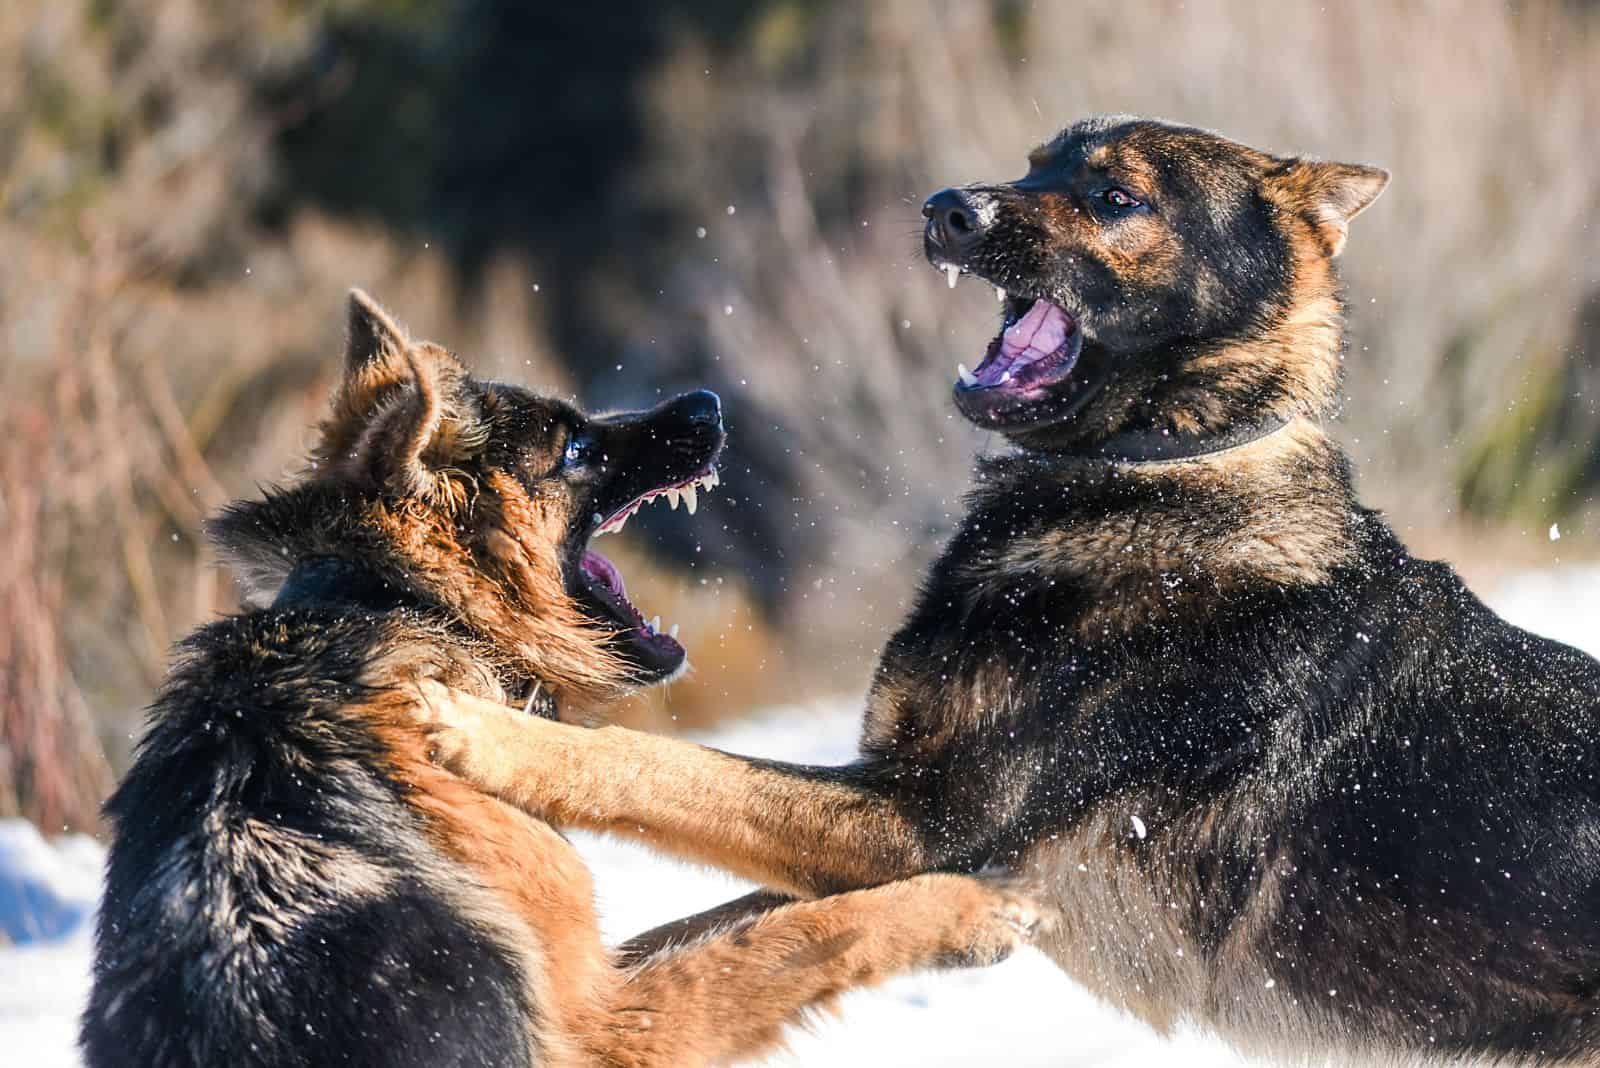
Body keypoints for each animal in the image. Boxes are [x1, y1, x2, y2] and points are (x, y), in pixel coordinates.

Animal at [81, 292, 1043, 1068]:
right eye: (577, 444)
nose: (707, 400)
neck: (398, 605)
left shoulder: (589, 967)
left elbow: (733, 914)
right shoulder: (599, 1024)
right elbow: (786, 939)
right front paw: (961, 910)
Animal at [419, 119, 1600, 1068]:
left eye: (1115, 197)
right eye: (1037, 164)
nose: (948, 207)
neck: (1152, 469)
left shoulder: (917, 822)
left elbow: (660, 765)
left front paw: (483, 734)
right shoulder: (892, 828)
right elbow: (694, 938)